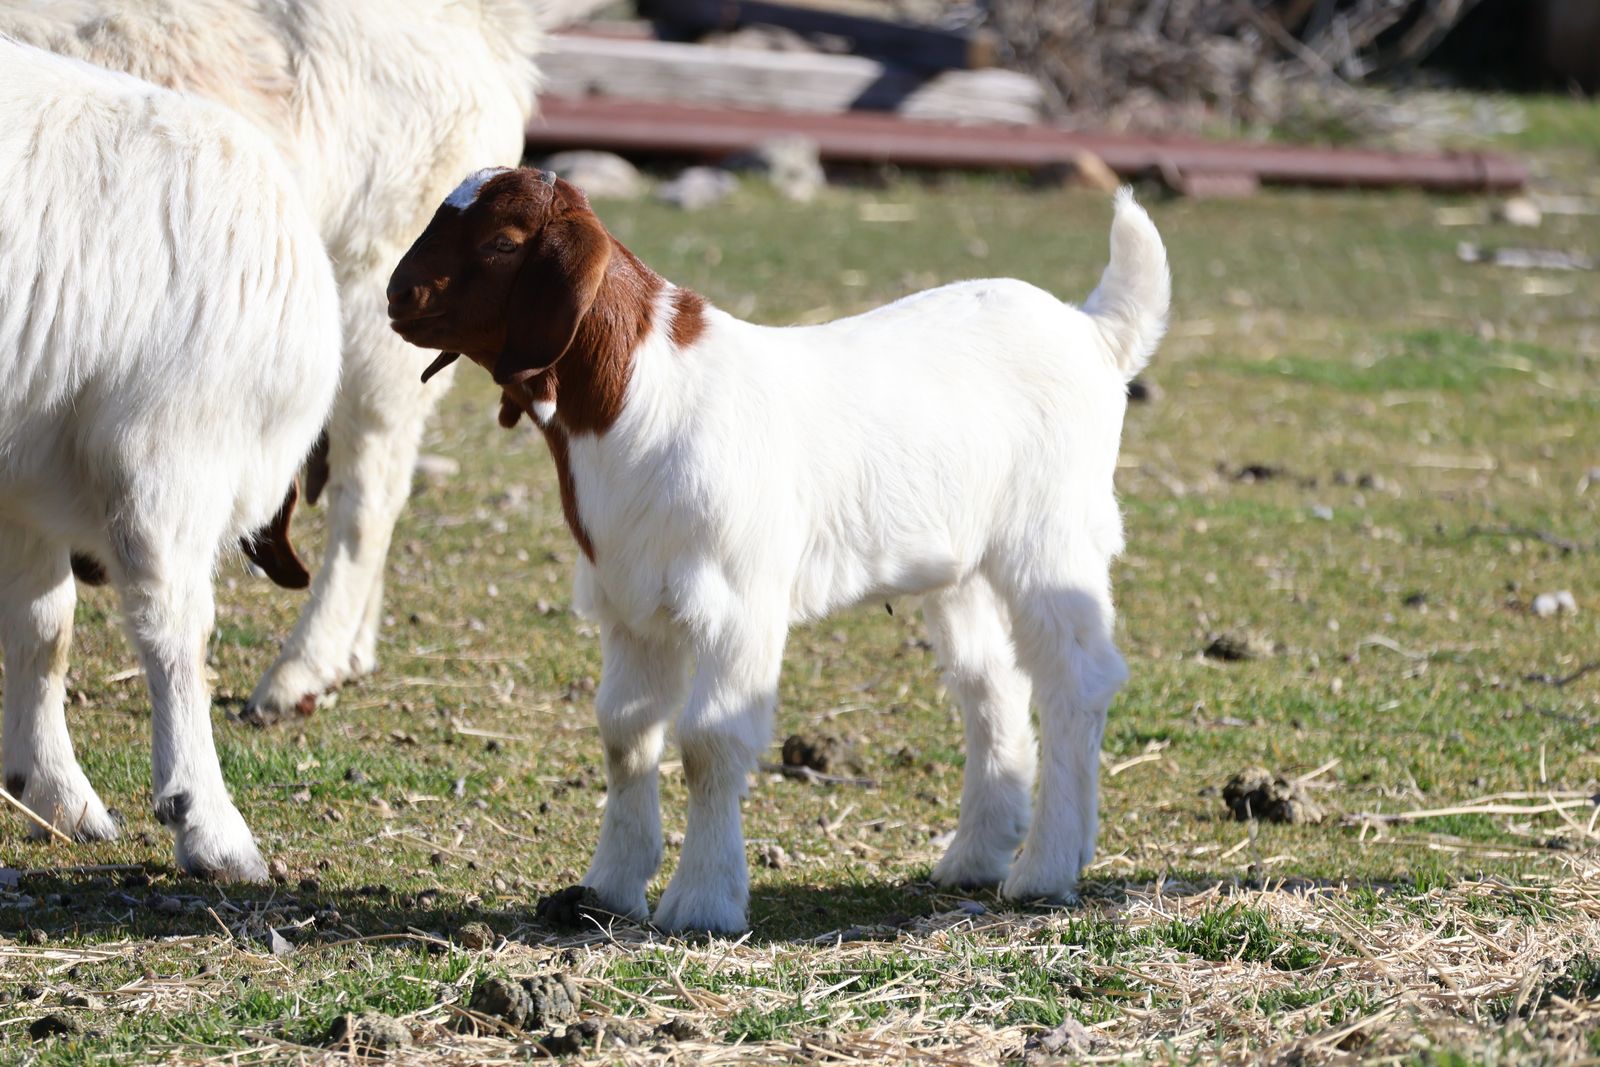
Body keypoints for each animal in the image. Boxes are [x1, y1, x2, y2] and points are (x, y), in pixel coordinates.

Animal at [0, 38, 341, 879]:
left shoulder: (26, 475)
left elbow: (44, 625)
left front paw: (53, 788)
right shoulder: (171, 461)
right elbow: (177, 633)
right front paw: (207, 820)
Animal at [387, 168, 1170, 932]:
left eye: (504, 241)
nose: (397, 295)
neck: (642, 395)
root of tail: (1092, 331)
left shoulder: (736, 603)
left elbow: (709, 740)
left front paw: (702, 902)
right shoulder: (630, 604)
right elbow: (625, 732)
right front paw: (606, 889)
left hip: (1052, 538)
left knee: (1077, 680)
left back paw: (1046, 868)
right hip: (960, 566)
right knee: (990, 684)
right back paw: (975, 855)